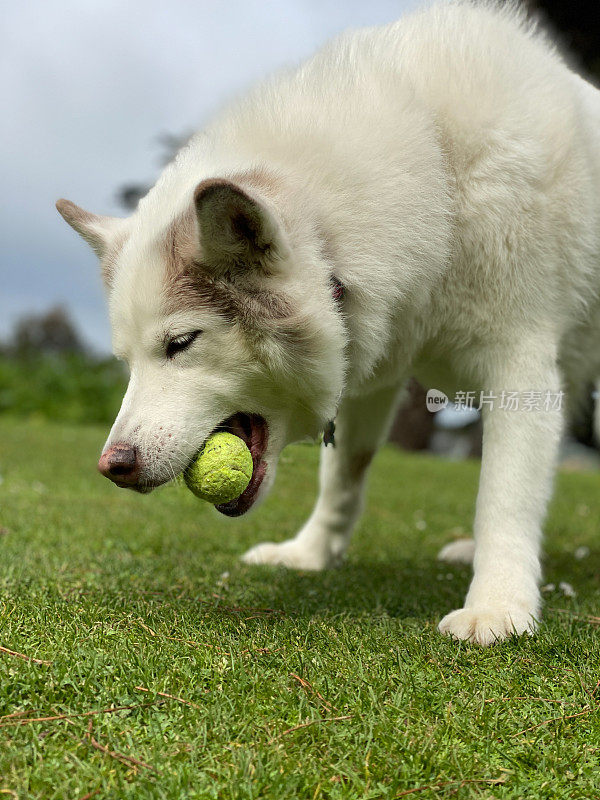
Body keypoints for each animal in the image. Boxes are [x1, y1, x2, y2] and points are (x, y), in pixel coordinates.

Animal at [56, 0, 600, 648]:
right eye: (126, 362)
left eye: (181, 343)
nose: (112, 466)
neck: (438, 183)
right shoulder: (375, 369)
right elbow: (342, 479)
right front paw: (311, 554)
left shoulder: (519, 367)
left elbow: (506, 493)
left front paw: (497, 606)